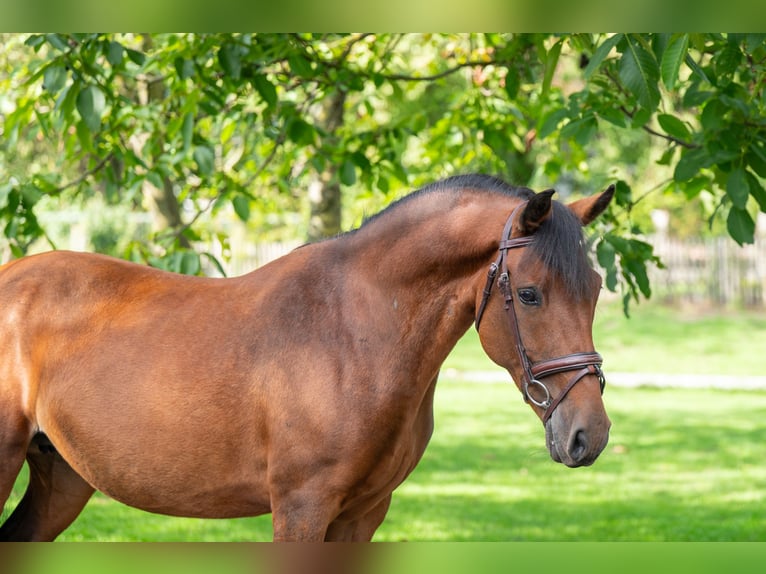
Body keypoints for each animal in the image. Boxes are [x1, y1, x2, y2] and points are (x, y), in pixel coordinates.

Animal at [0, 174, 614, 541]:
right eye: (530, 294)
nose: (590, 434)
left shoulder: (363, 513)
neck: (352, 334)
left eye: (597, 288)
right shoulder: (302, 508)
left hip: (63, 477)